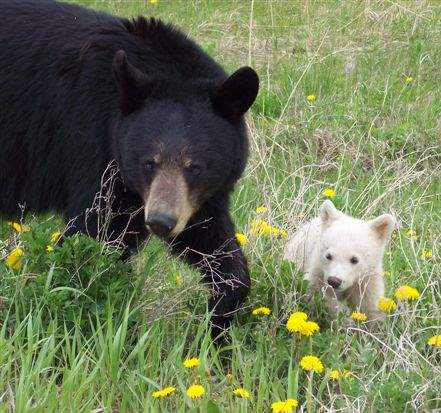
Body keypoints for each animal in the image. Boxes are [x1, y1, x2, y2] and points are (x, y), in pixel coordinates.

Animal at [0, 1, 260, 336]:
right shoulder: (92, 148)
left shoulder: (195, 199)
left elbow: (209, 239)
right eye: (149, 162)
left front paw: (217, 322)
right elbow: (91, 238)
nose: (161, 222)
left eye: (195, 167)